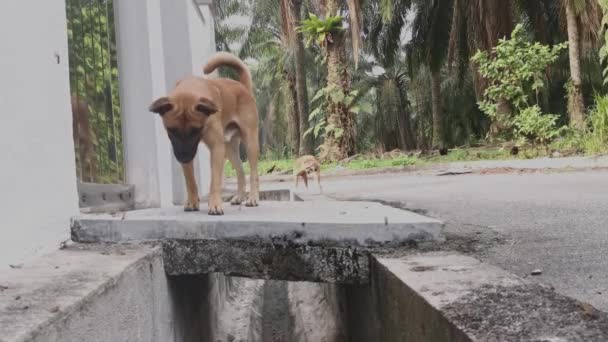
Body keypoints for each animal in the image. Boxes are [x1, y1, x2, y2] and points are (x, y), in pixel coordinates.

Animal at [150, 52, 262, 215]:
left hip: (250, 142)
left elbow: (215, 180)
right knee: (241, 171)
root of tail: (243, 87)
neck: (189, 90)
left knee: (253, 173)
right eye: (172, 130)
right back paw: (240, 196)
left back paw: (253, 198)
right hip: (229, 148)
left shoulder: (216, 148)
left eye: (196, 130)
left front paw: (214, 204)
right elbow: (190, 181)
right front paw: (192, 201)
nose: (184, 157)